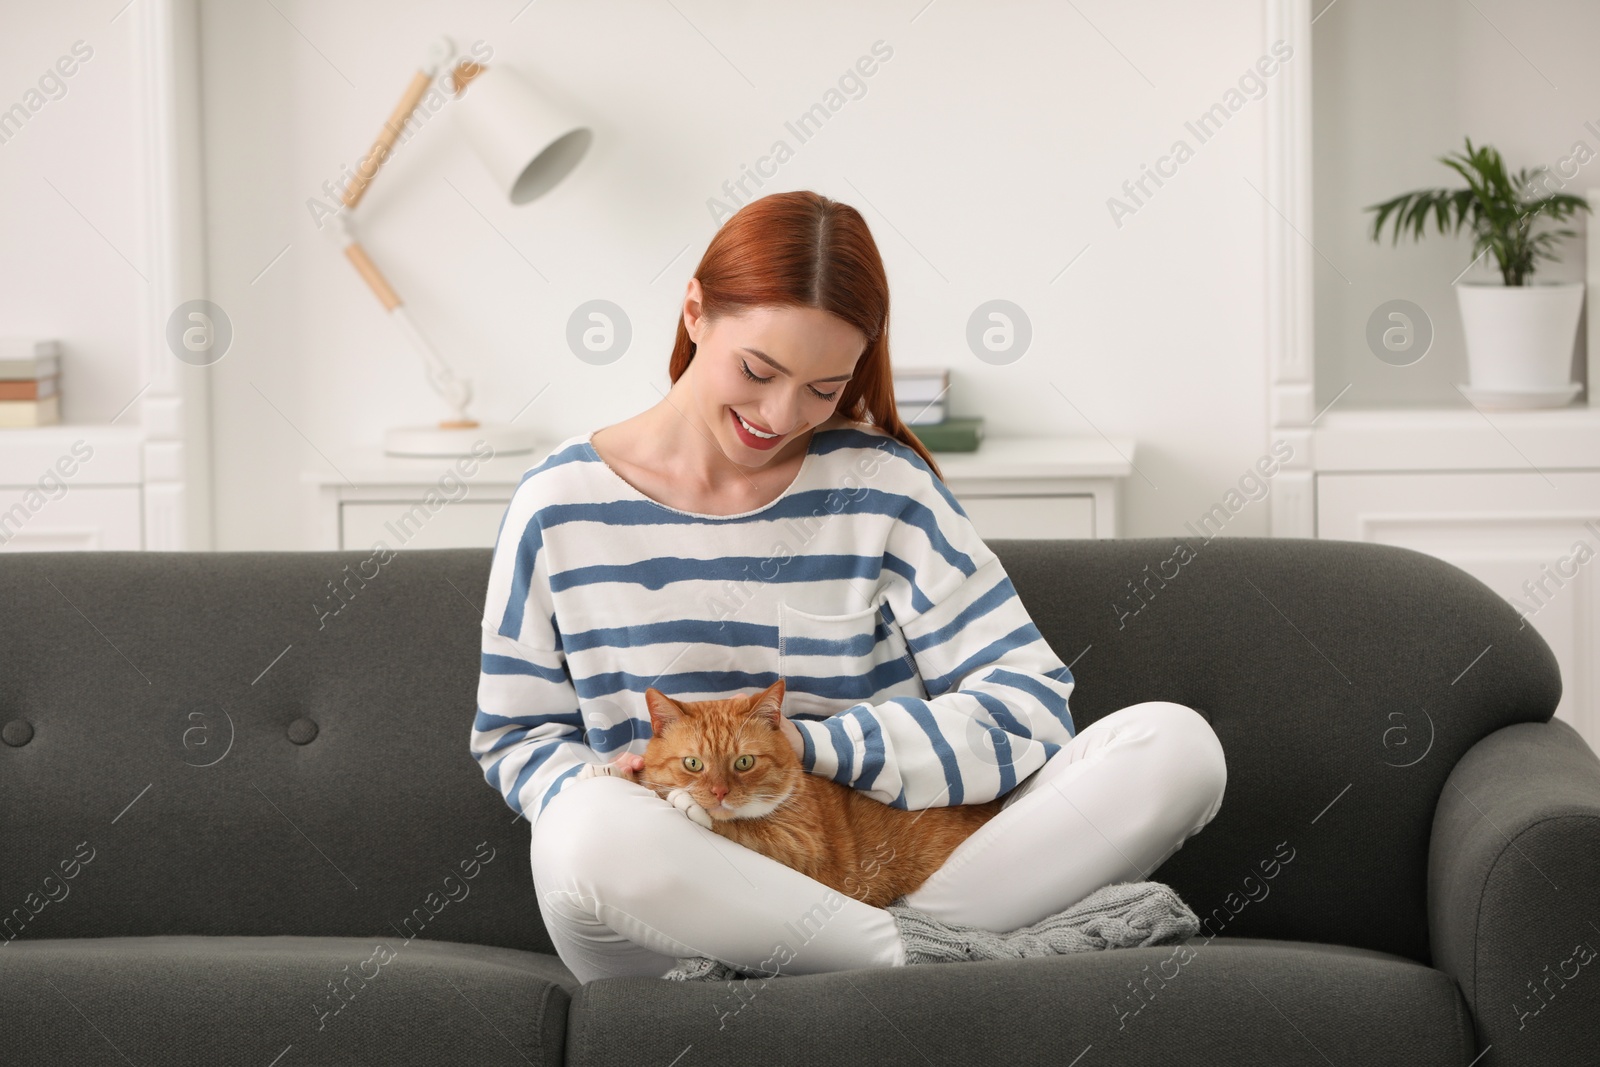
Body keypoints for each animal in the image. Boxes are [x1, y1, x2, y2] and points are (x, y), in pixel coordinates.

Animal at [633, 681, 998, 908]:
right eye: (693, 763)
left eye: (744, 762)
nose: (719, 791)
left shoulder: (803, 846)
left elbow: (747, 829)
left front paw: (690, 804)